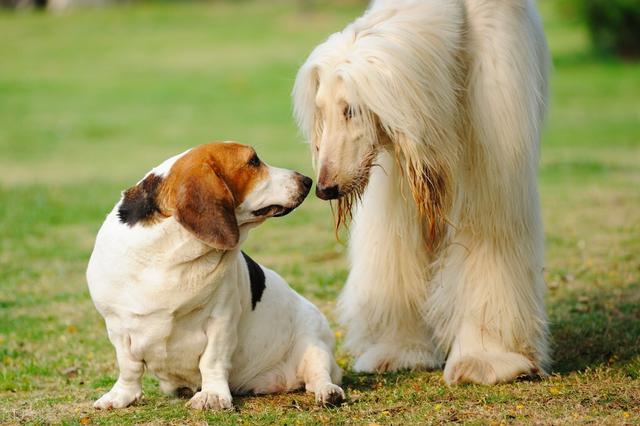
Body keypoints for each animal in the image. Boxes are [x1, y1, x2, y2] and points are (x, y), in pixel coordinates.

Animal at [87, 142, 344, 410]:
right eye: (253, 161)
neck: (172, 250)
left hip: (314, 344)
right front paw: (121, 396)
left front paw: (212, 395)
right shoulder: (116, 326)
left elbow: (212, 361)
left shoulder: (221, 320)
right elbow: (129, 367)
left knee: (318, 375)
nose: (307, 180)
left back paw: (328, 392)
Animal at [296, 0, 552, 384]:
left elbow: (488, 236)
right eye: (321, 110)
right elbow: (396, 243)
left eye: (350, 109)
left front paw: (487, 359)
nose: (326, 187)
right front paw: (398, 350)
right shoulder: (401, 163)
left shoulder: (491, 138)